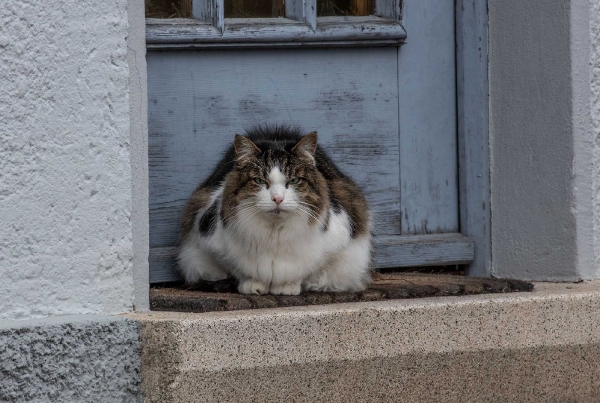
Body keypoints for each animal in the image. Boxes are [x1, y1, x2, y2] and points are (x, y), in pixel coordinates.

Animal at [177, 126, 370, 296]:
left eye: (294, 181)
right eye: (259, 181)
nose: (277, 198)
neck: (274, 232)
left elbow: (305, 270)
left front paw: (287, 286)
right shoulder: (210, 239)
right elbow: (239, 269)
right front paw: (252, 285)